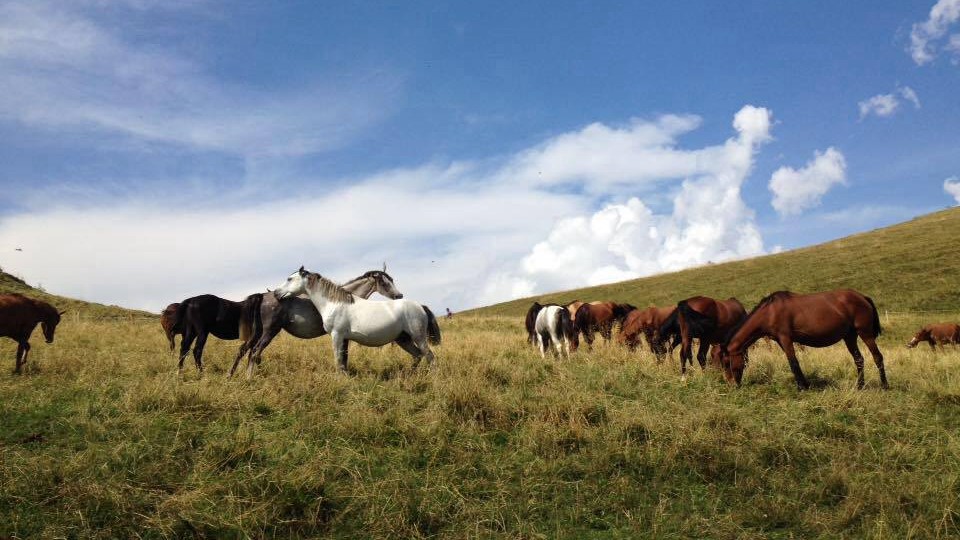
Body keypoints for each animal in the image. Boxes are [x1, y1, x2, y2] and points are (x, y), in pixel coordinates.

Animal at [233, 268, 404, 378]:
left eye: (391, 280)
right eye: (384, 282)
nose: (399, 296)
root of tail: (264, 295)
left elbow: (344, 357)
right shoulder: (342, 336)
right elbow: (343, 357)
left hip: (259, 332)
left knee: (245, 350)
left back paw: (233, 375)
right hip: (270, 331)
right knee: (255, 351)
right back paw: (248, 377)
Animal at [273, 267, 441, 373]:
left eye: (289, 279)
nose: (275, 293)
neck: (335, 303)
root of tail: (420, 306)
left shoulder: (337, 335)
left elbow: (338, 359)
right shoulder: (343, 338)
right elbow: (342, 359)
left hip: (419, 337)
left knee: (430, 357)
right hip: (403, 339)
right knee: (418, 355)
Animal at [720, 290, 887, 390]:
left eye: (727, 363)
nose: (731, 385)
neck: (769, 312)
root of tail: (862, 297)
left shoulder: (786, 338)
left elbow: (793, 363)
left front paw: (802, 387)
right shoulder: (781, 341)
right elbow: (793, 362)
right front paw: (804, 384)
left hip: (865, 333)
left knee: (877, 357)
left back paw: (885, 385)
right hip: (850, 336)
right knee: (859, 360)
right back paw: (860, 386)